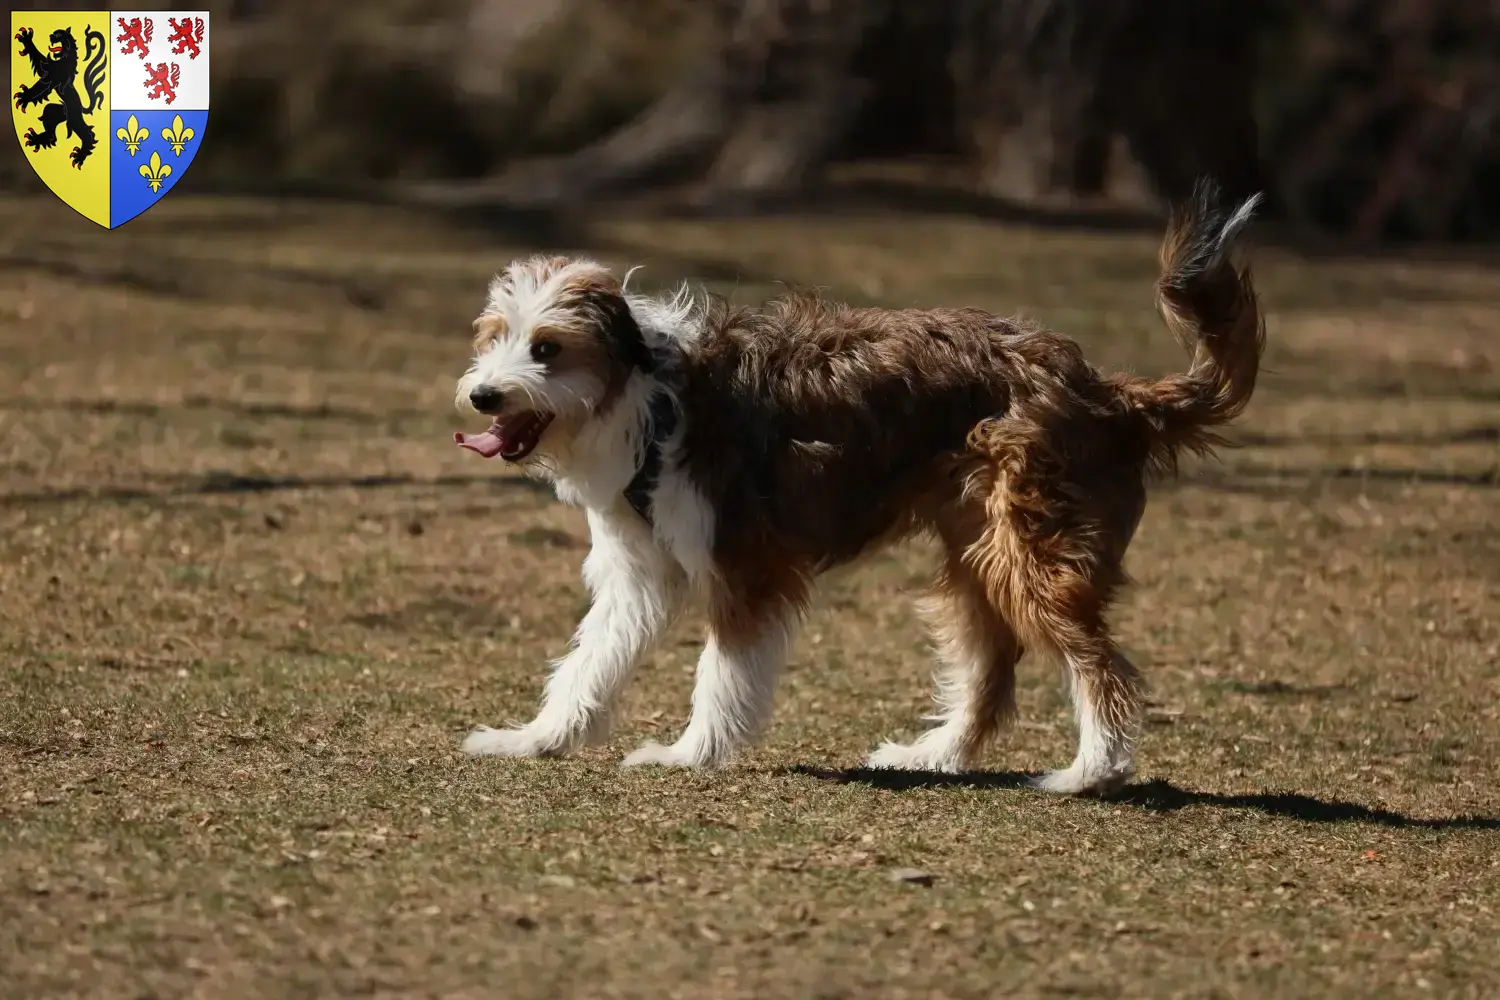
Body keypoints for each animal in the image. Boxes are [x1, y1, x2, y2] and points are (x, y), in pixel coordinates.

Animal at [13, 24, 108, 169]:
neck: (65, 59)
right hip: (54, 111)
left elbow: (38, 87)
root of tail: (82, 108)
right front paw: (26, 39)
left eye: (58, 34)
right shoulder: (48, 70)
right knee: (51, 132)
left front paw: (24, 97)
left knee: (88, 134)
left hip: (74, 119)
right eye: (54, 33)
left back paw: (79, 156)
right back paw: (36, 139)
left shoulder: (52, 77)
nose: (50, 36)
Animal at [450, 176, 1260, 791]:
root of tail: (1106, 391)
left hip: (1035, 554)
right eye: (493, 339)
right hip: (979, 556)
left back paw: (1089, 773)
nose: (482, 396)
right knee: (990, 675)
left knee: (1102, 668)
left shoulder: (748, 567)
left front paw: (690, 754)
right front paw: (537, 738)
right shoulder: (638, 572)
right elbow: (587, 664)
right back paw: (934, 756)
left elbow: (720, 672)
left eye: (546, 349)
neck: (650, 397)